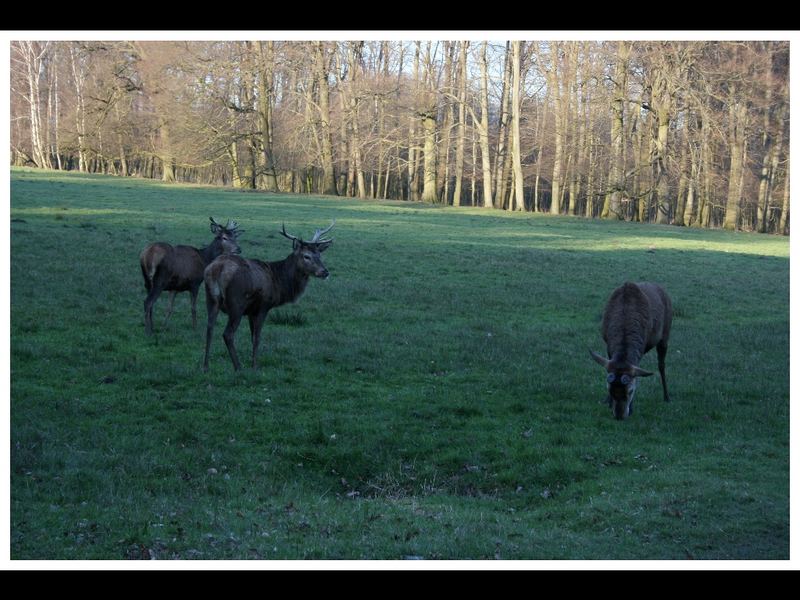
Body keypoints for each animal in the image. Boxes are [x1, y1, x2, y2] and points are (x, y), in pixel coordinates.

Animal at [203, 220, 338, 370]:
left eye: (319, 255)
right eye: (306, 256)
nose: (325, 272)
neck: (279, 282)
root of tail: (217, 269)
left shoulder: (251, 311)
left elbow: (252, 336)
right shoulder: (263, 306)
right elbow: (257, 338)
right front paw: (255, 366)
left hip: (211, 298)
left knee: (209, 328)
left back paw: (205, 366)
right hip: (236, 303)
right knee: (228, 334)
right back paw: (238, 367)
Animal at [592, 280, 672, 418]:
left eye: (631, 390)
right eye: (609, 389)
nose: (619, 416)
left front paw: (632, 408)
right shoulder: (608, 346)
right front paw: (607, 402)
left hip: (665, 335)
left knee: (661, 365)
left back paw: (666, 396)